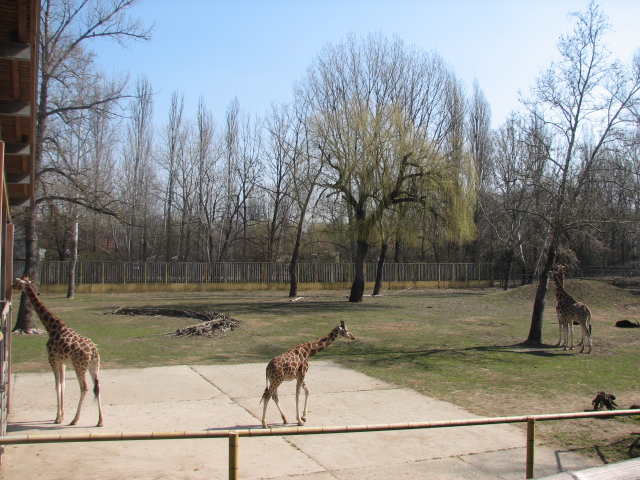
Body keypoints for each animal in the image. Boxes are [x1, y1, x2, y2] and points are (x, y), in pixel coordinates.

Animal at [12, 276, 104, 427]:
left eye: (18, 282)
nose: (12, 286)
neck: (51, 327)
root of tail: (94, 352)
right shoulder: (62, 361)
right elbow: (63, 384)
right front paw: (61, 415)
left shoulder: (52, 358)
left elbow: (57, 385)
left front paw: (58, 418)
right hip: (94, 366)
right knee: (97, 387)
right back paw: (100, 421)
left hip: (79, 366)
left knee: (84, 387)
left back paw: (75, 419)